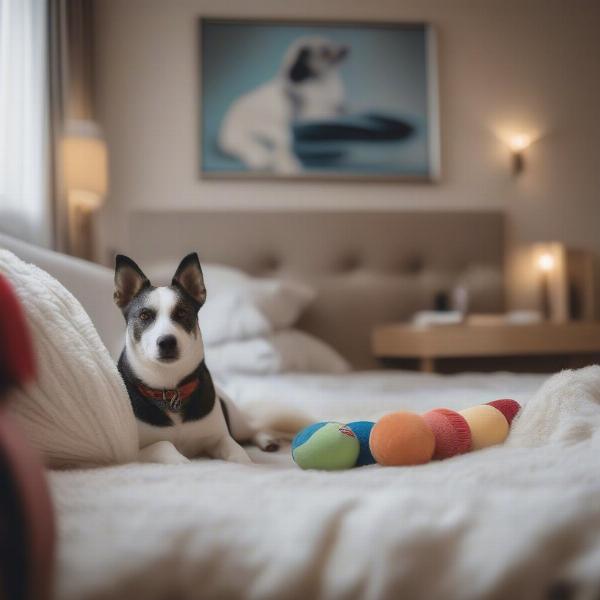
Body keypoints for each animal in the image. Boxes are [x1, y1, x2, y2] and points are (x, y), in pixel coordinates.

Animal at [113, 252, 304, 464]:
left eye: (182, 313)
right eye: (145, 316)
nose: (167, 342)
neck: (170, 391)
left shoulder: (218, 437)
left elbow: (237, 450)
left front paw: (243, 461)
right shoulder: (132, 453)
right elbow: (164, 445)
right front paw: (182, 461)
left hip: (237, 421)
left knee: (253, 429)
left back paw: (267, 439)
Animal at [218, 36, 350, 173]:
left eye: (331, 42)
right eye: (325, 51)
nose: (346, 49)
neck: (323, 83)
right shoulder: (315, 116)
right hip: (278, 131)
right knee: (276, 150)